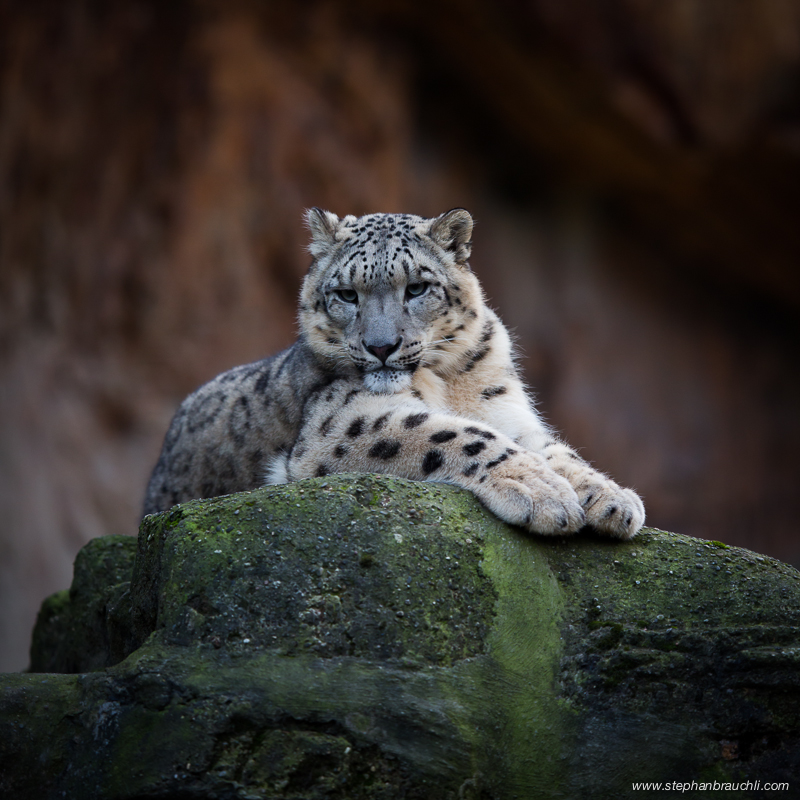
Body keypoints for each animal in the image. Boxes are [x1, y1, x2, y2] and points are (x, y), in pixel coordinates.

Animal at [142, 206, 644, 536]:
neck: (448, 382)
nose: (381, 346)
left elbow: (553, 449)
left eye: (417, 287)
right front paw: (542, 492)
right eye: (346, 294)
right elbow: (455, 433)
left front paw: (613, 498)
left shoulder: (505, 411)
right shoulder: (342, 422)